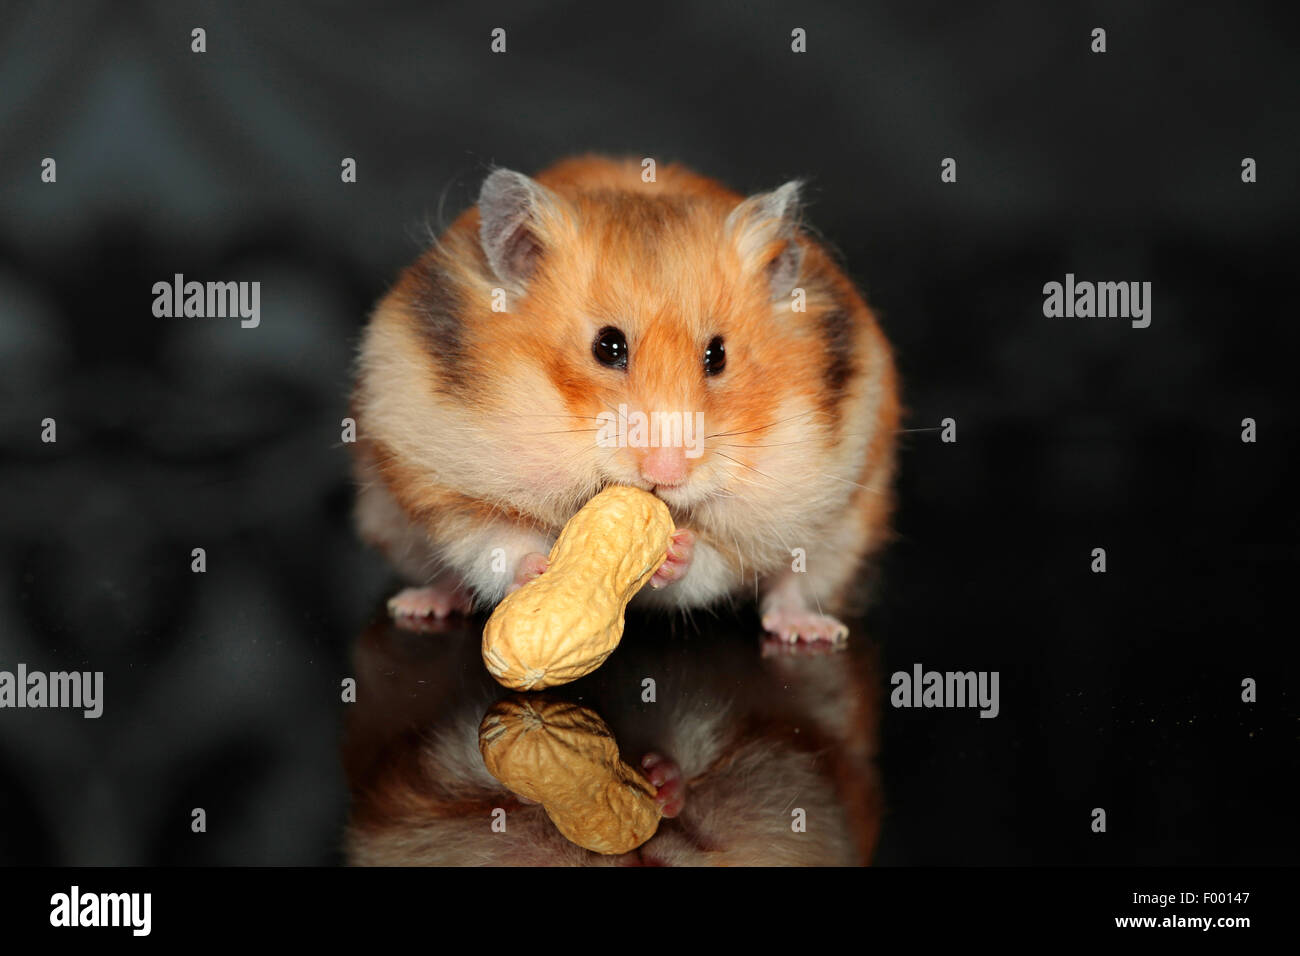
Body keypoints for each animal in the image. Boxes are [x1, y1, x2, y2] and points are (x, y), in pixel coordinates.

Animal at [351, 155, 899, 642]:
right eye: (607, 347)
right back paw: (421, 605)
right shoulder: (448, 483)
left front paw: (676, 553)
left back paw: (811, 632)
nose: (665, 474)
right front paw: (543, 569)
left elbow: (710, 562)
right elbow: (495, 541)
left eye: (718, 355)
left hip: (843, 530)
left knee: (793, 585)